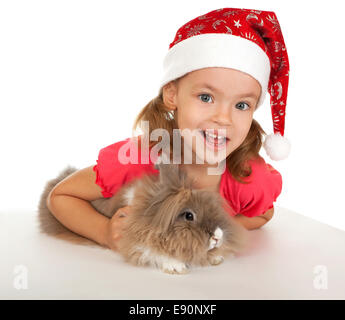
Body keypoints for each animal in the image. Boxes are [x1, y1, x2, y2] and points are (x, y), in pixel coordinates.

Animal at [37, 158, 247, 276]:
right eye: (189, 215)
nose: (217, 236)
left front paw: (216, 257)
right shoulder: (136, 241)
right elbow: (154, 252)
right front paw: (176, 267)